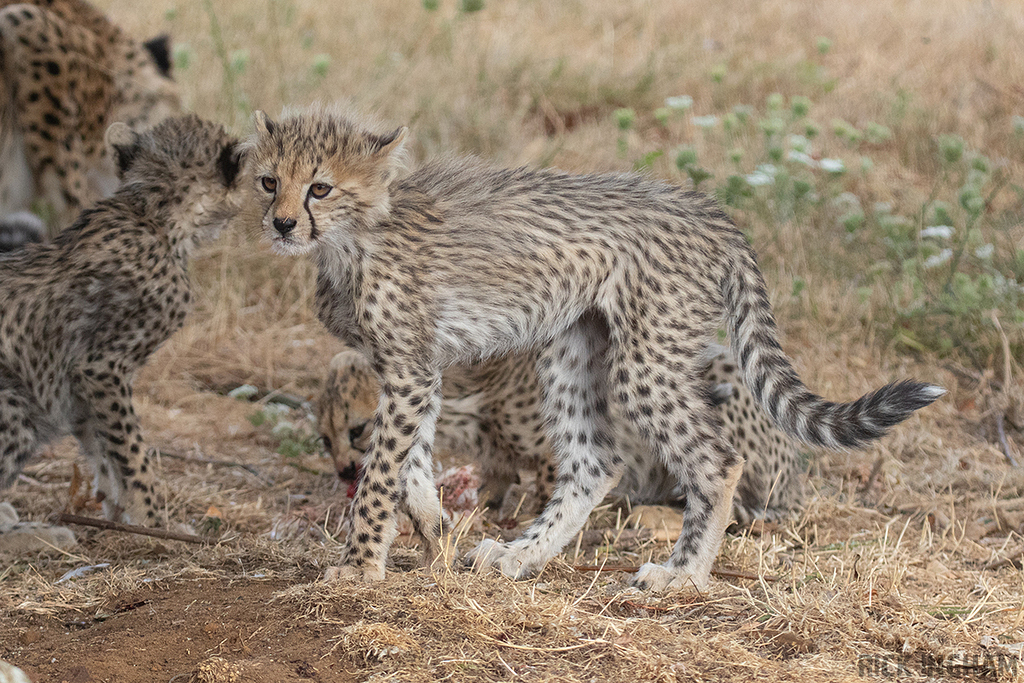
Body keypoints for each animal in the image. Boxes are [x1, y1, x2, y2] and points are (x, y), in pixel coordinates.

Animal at [0, 114, 246, 548]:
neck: (154, 212)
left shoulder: (81, 381)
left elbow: (103, 447)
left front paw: (118, 509)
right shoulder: (101, 366)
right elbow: (134, 453)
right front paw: (154, 523)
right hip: (13, 405)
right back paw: (37, 534)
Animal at [317, 343, 804, 525]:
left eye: (358, 430)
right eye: (325, 440)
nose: (343, 472)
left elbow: (550, 489)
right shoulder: (497, 458)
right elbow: (496, 483)